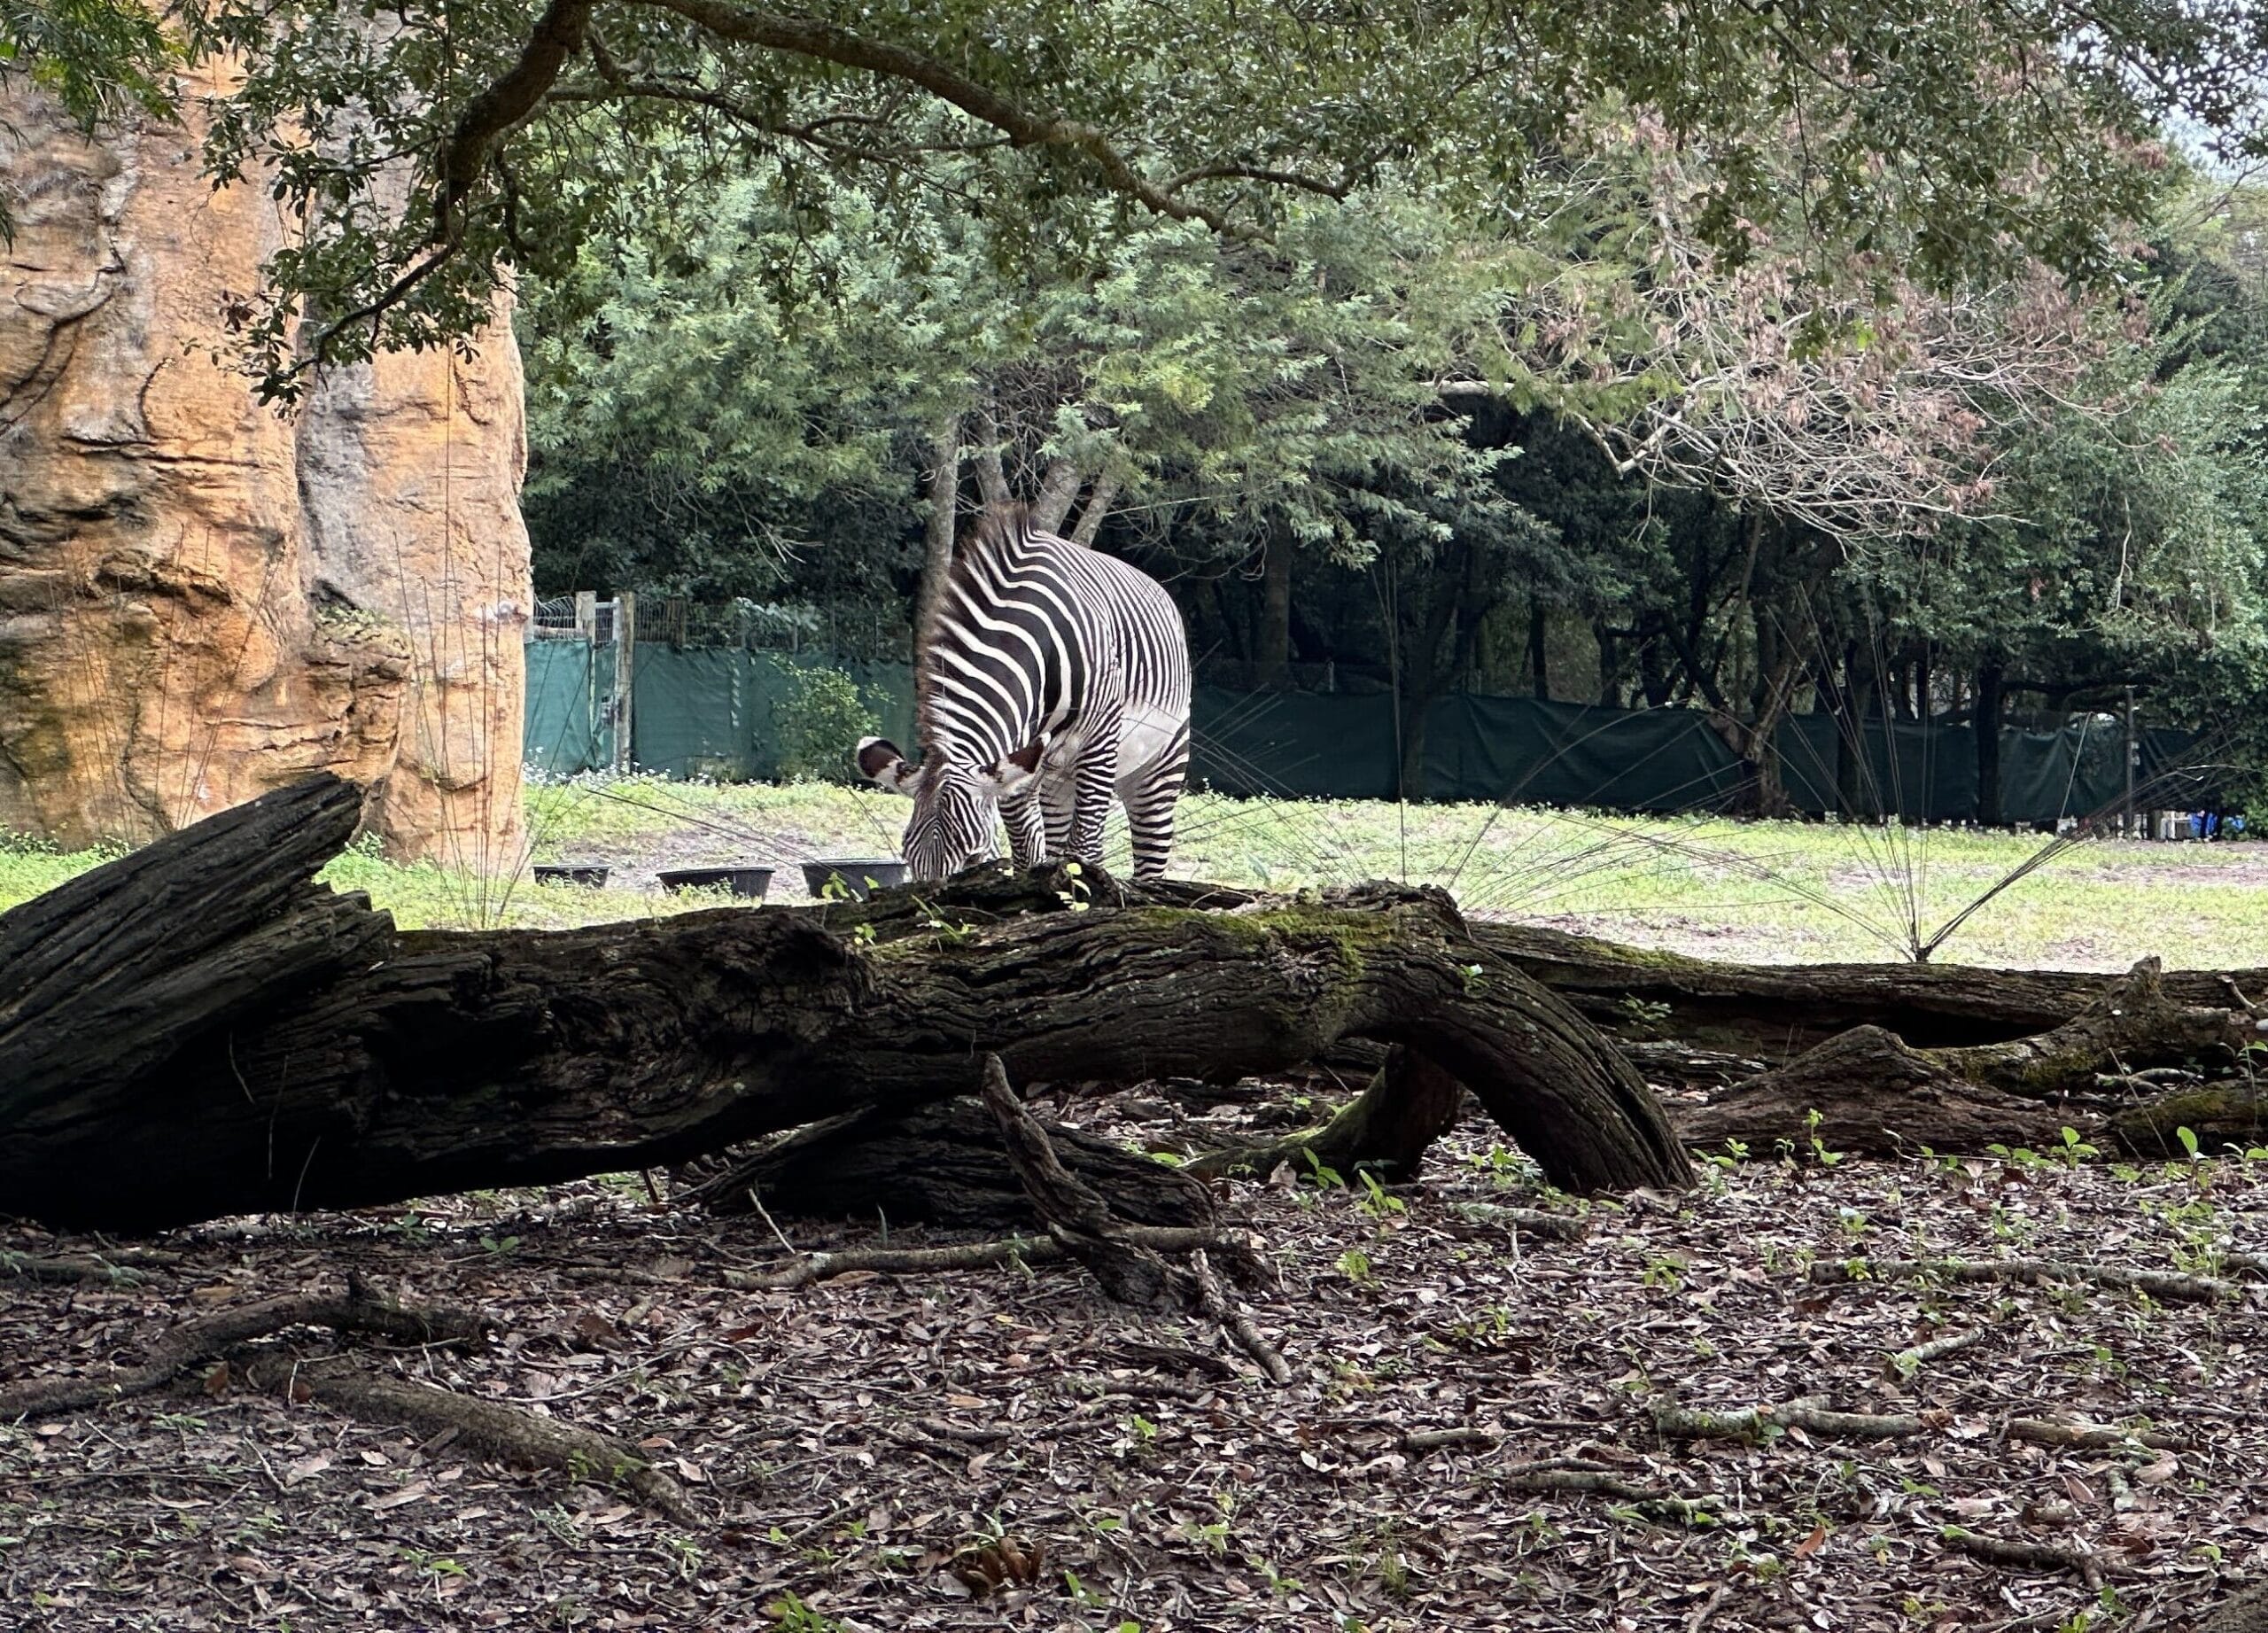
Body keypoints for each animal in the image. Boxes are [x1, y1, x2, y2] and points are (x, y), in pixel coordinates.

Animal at [857, 504, 1192, 883]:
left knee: (1144, 857)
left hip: (1159, 766)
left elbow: (1082, 849)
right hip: (1056, 782)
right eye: (908, 858)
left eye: (973, 858)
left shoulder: (1100, 741)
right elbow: (1027, 853)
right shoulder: (1016, 764)